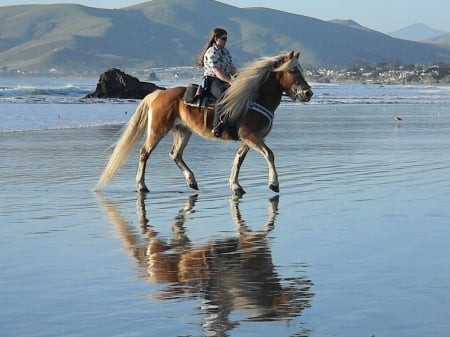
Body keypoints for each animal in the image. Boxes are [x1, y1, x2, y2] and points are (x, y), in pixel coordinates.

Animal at [94, 50, 312, 194]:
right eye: (293, 71)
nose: (308, 93)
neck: (255, 99)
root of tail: (158, 94)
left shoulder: (249, 139)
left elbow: (239, 160)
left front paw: (235, 185)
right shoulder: (250, 136)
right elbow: (269, 154)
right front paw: (274, 184)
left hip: (183, 131)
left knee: (175, 154)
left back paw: (191, 181)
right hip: (158, 130)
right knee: (144, 153)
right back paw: (141, 185)